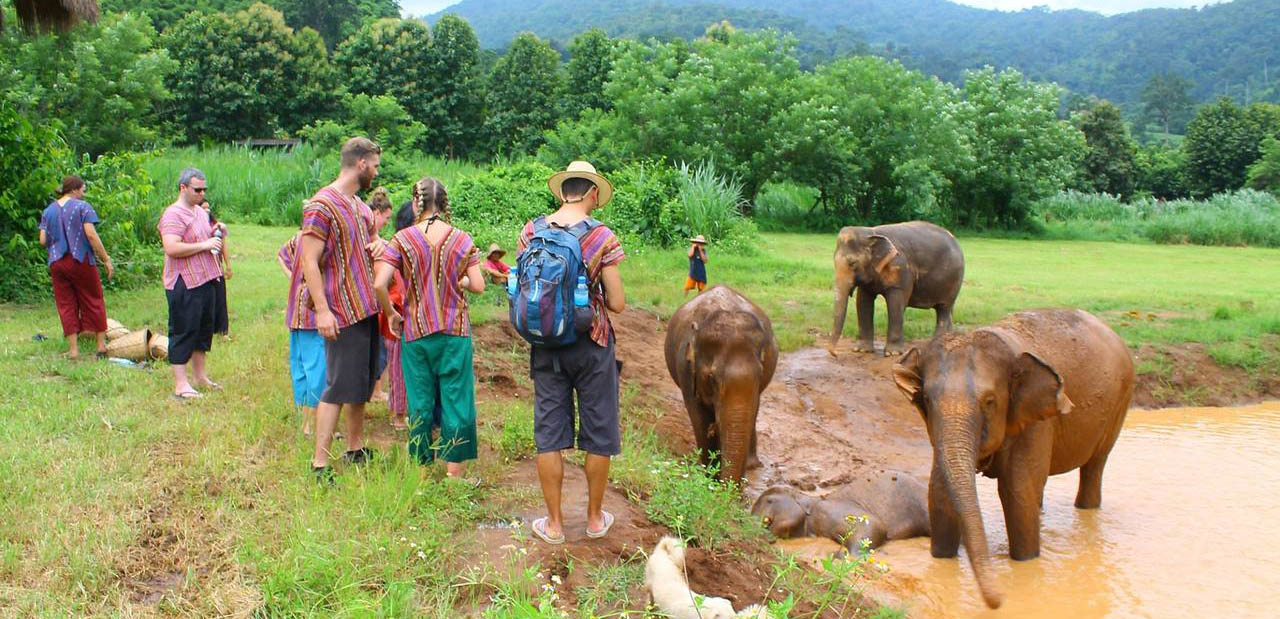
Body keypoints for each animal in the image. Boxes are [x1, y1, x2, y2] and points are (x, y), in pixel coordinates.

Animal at [665, 285, 779, 484]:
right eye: (712, 378)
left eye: (760, 373)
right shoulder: (686, 370)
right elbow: (699, 419)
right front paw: (709, 480)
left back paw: (752, 465)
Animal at [830, 221, 964, 357]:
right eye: (834, 262)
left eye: (852, 263)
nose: (835, 354)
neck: (871, 232)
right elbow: (863, 302)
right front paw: (862, 350)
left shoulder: (900, 268)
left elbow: (895, 303)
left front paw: (893, 353)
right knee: (947, 310)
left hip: (953, 279)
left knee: (943, 309)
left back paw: (938, 345)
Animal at [892, 309, 1135, 609]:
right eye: (926, 398)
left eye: (989, 401)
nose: (998, 602)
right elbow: (940, 491)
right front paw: (943, 560)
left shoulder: (1036, 421)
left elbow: (1016, 492)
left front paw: (1025, 564)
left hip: (1119, 404)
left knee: (1094, 466)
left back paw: (1086, 507)